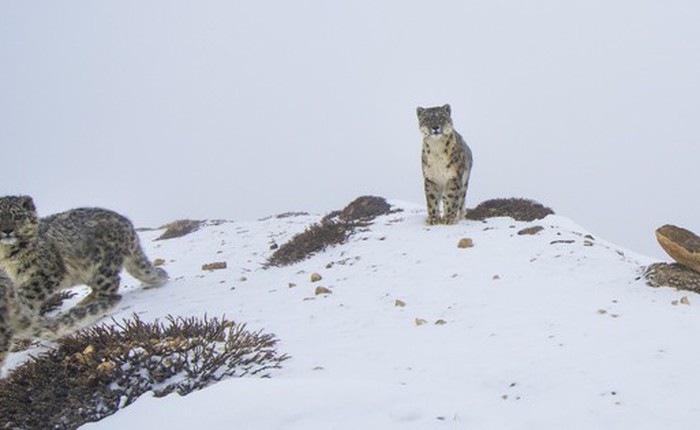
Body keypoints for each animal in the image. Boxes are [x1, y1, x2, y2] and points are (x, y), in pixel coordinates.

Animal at [0, 197, 167, 364]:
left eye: (18, 216)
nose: (7, 230)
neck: (7, 257)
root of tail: (127, 224)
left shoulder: (46, 273)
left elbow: (27, 296)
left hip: (103, 267)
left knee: (109, 287)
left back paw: (88, 303)